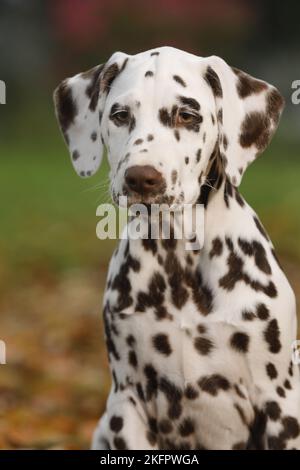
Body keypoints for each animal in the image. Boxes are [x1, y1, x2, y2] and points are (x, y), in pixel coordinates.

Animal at [54, 46, 300, 450]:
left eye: (187, 115)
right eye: (120, 115)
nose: (141, 178)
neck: (177, 256)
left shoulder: (279, 404)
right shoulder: (128, 403)